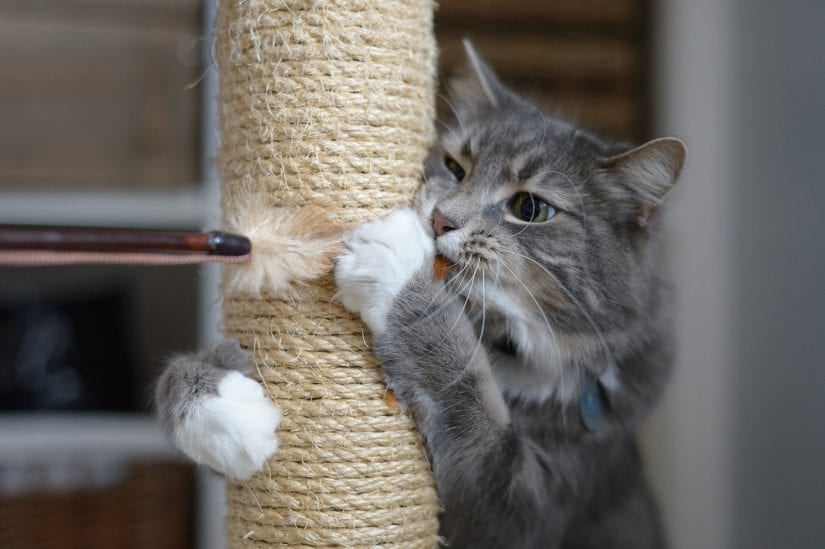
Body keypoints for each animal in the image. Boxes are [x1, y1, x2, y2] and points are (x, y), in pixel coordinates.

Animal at [153, 42, 684, 548]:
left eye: (531, 208)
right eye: (455, 166)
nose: (441, 220)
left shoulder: (525, 505)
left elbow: (463, 378)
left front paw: (399, 265)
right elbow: (176, 377)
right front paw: (223, 411)